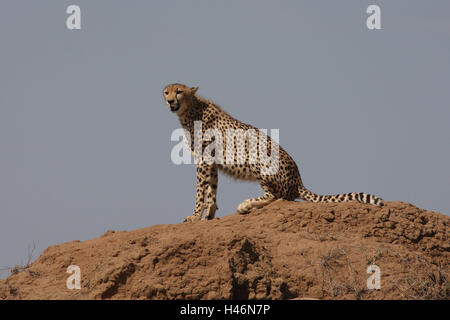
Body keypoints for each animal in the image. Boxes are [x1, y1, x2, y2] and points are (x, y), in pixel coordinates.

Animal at [163, 83, 384, 222]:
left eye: (179, 91)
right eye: (166, 92)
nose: (170, 101)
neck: (191, 109)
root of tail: (298, 180)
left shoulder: (203, 160)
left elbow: (200, 191)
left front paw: (194, 216)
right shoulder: (211, 161)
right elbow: (212, 190)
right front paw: (209, 214)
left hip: (257, 157)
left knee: (277, 196)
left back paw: (246, 205)